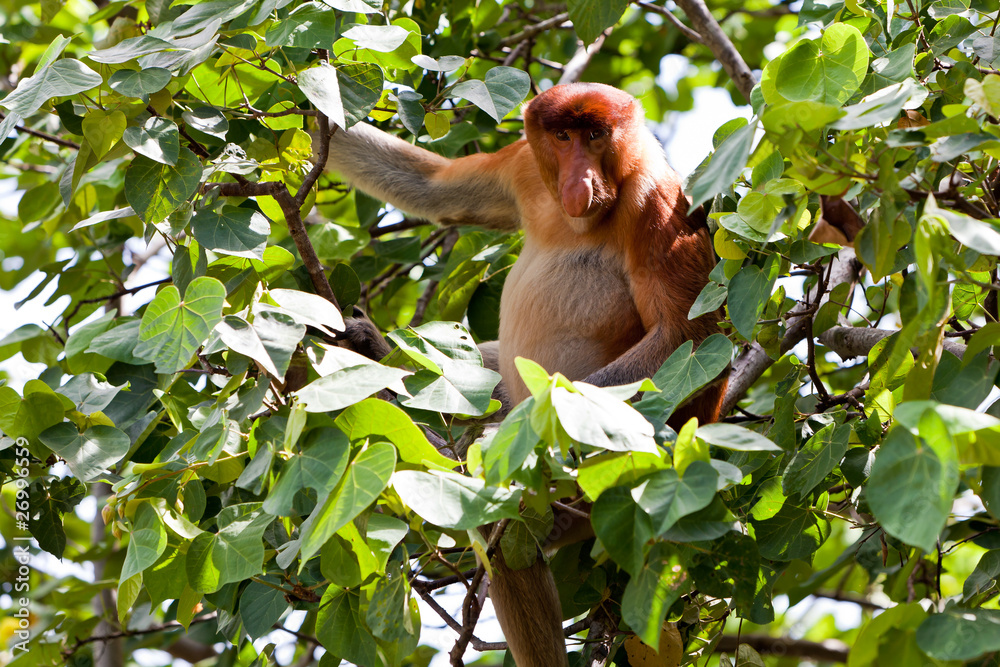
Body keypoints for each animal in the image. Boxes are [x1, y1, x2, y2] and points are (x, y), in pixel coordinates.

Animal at [320, 83, 726, 667]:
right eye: (562, 137)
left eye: (595, 135)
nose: (579, 182)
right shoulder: (525, 167)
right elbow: (434, 189)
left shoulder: (655, 201)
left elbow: (689, 334)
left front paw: (513, 437)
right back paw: (376, 353)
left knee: (504, 524)